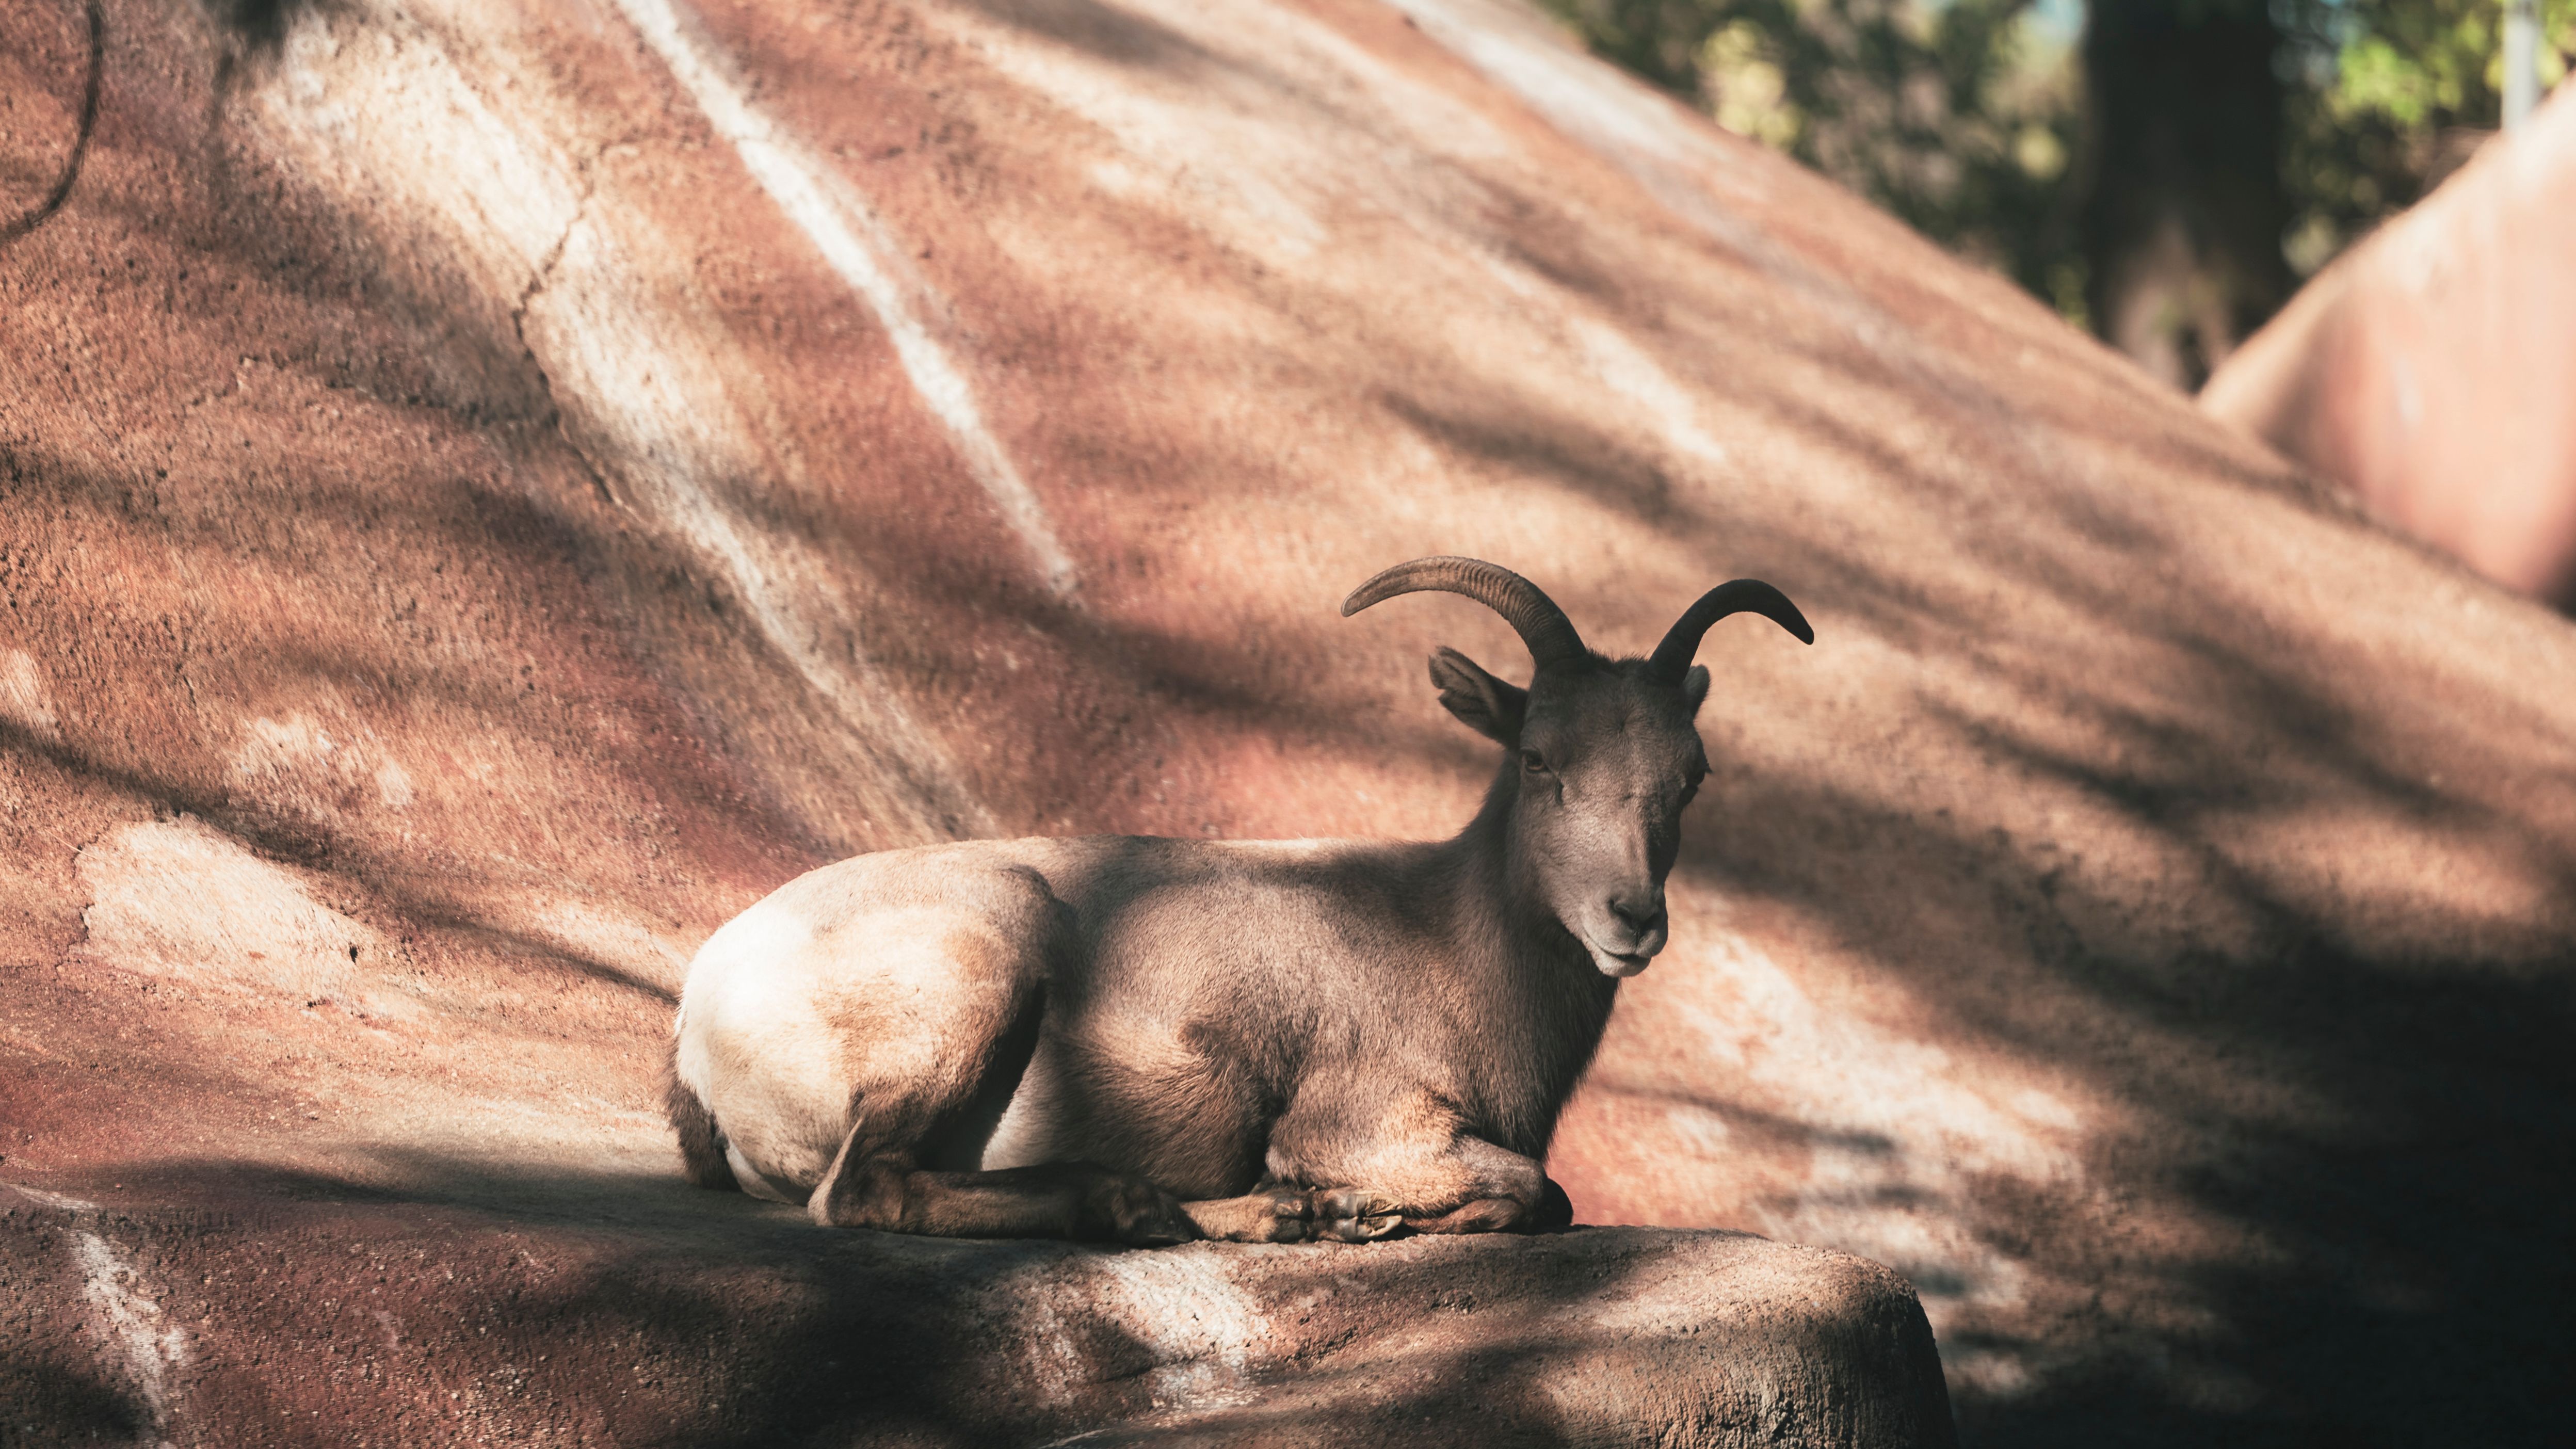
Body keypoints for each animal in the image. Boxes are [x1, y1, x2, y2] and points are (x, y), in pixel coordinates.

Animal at [666, 557, 1811, 1244]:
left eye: (1690, 776)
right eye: (1539, 758)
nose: (1632, 918)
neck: (1446, 942)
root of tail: (697, 1031)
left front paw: (1345, 1212)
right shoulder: (1368, 1118)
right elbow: (1541, 1191)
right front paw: (1363, 1208)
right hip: (971, 982)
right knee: (864, 1188)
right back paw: (1157, 1202)